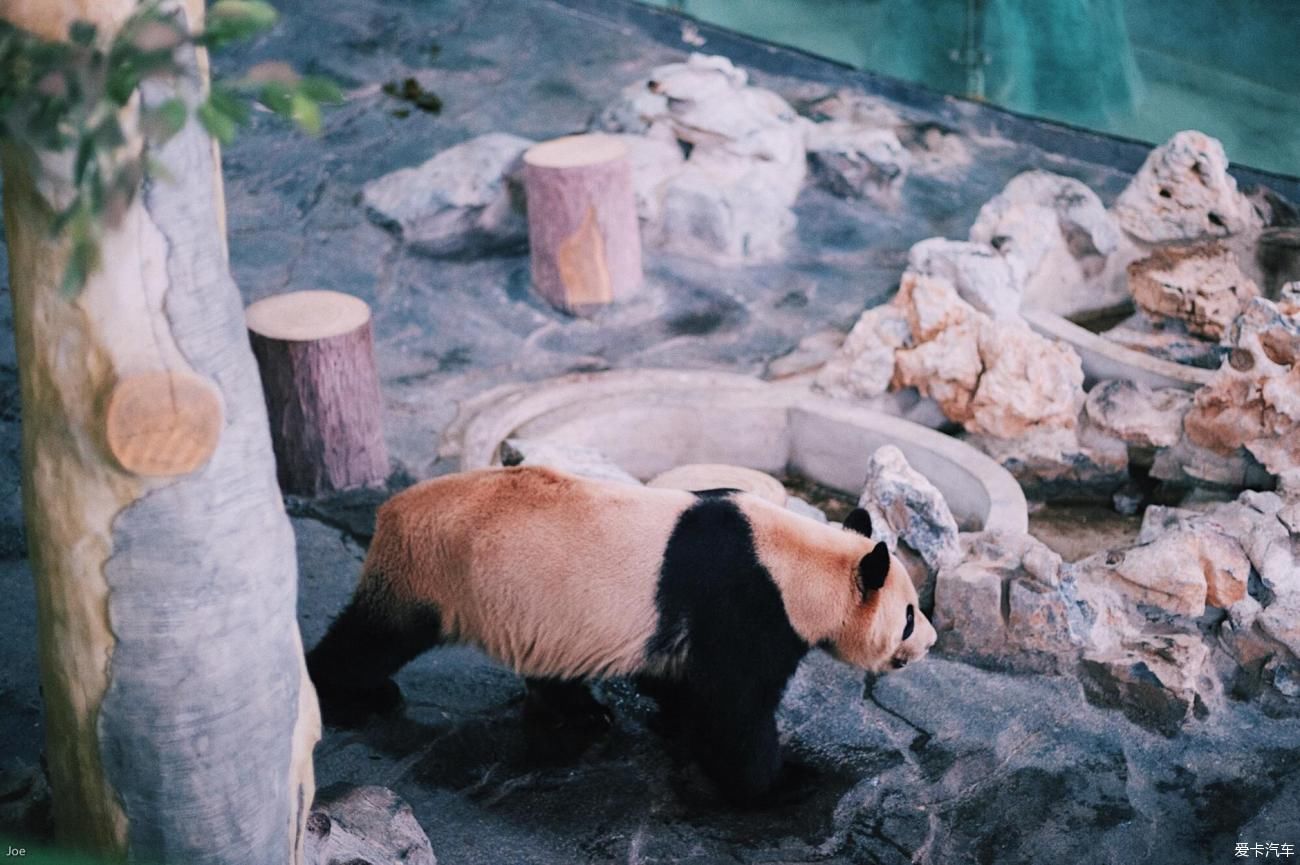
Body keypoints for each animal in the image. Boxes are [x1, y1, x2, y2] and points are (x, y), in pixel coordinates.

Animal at [304, 465, 935, 801]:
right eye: (907, 614)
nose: (929, 642)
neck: (796, 558)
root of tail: (390, 511)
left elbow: (683, 683)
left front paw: (672, 723)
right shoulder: (746, 604)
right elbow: (732, 709)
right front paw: (779, 782)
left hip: (534, 609)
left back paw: (582, 713)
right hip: (434, 571)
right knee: (372, 639)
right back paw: (349, 695)